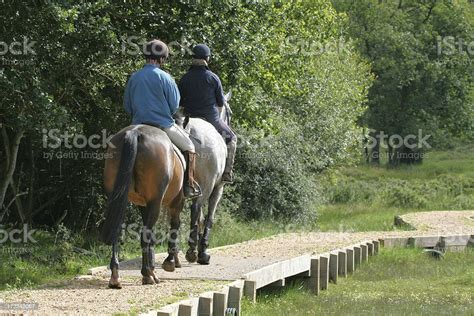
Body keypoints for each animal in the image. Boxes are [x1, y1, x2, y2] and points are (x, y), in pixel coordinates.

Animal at [101, 123, 184, 288]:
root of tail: (134, 132)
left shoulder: (143, 205)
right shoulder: (175, 203)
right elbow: (173, 226)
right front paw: (169, 262)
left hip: (119, 200)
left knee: (116, 232)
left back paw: (115, 277)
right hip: (156, 202)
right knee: (145, 235)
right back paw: (148, 274)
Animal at [184, 92, 232, 264]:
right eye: (230, 113)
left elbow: (201, 218)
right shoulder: (217, 188)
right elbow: (209, 217)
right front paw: (203, 250)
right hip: (208, 185)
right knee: (196, 208)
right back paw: (193, 252)